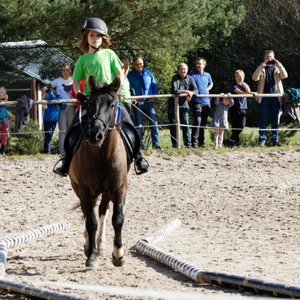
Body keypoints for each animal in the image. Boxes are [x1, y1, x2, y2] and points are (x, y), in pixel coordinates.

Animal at [69, 75, 130, 270]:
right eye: (90, 104)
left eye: (112, 104)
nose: (95, 134)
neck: (103, 155)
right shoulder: (85, 190)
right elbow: (91, 221)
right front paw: (91, 256)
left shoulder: (119, 188)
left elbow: (118, 219)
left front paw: (118, 255)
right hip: (79, 188)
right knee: (89, 211)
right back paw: (90, 244)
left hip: (106, 192)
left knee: (103, 209)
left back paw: (101, 244)